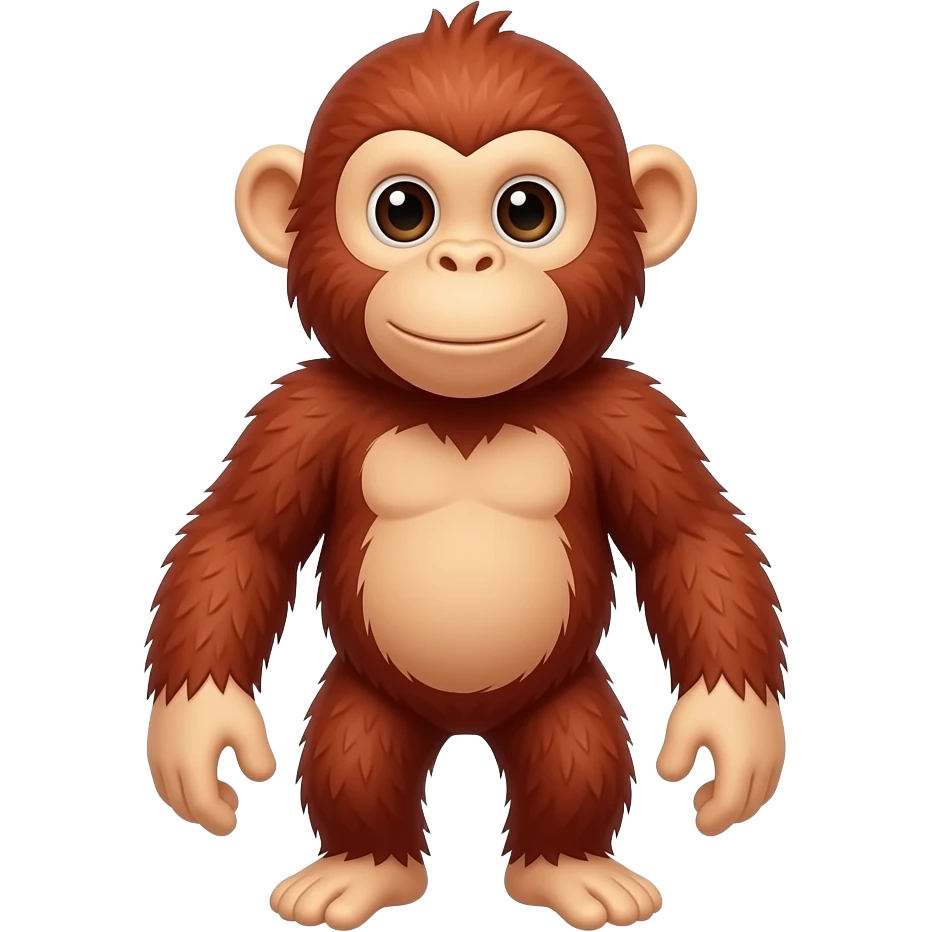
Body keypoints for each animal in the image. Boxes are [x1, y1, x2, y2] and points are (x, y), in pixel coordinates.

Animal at [144, 4, 787, 930]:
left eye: (527, 210)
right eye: (403, 210)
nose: (466, 261)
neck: (465, 410)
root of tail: (464, 724)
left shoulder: (631, 412)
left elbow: (690, 538)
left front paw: (732, 732)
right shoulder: (300, 412)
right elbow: (241, 538)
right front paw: (199, 731)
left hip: (561, 697)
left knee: (576, 750)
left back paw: (570, 868)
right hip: (369, 697)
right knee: (354, 750)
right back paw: (362, 868)